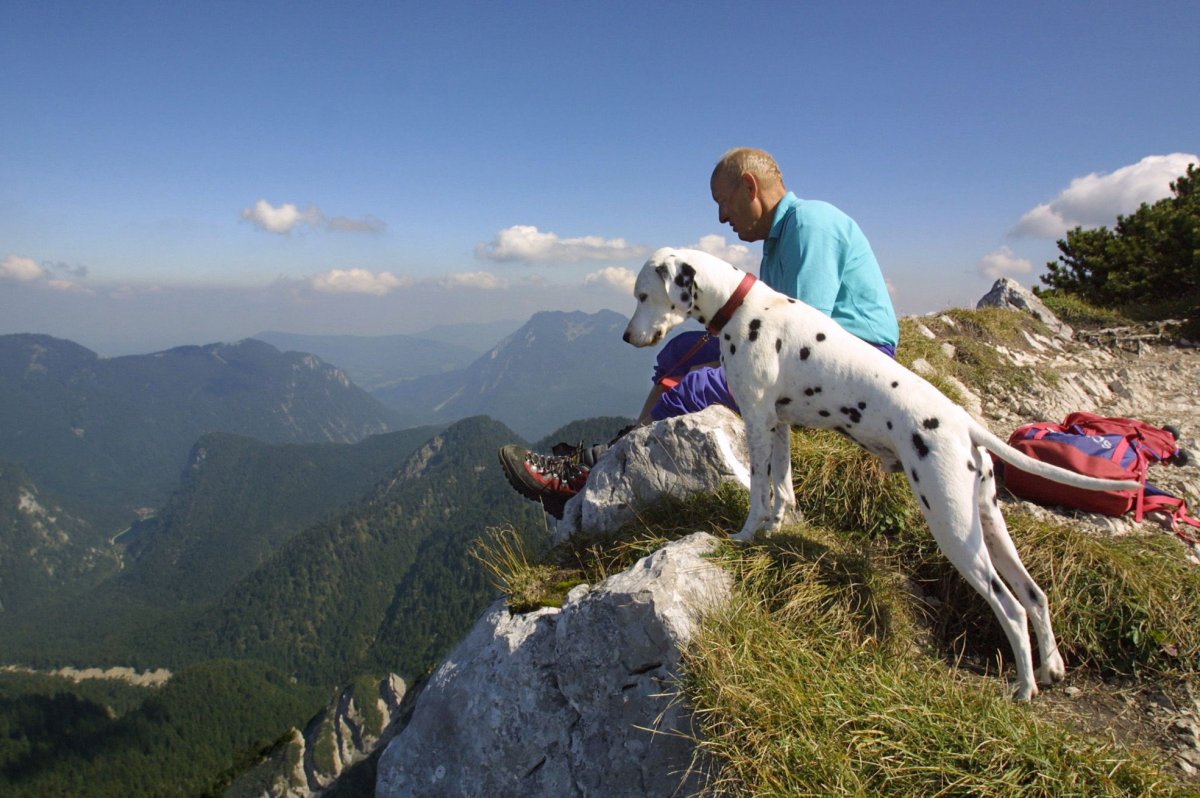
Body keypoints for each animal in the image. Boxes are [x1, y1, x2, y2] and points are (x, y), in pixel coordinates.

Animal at [628, 246, 1142, 700]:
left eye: (642, 295)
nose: (627, 339)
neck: (744, 308)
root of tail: (964, 423)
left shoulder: (756, 419)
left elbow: (758, 490)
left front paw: (747, 534)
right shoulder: (779, 424)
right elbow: (782, 488)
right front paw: (776, 527)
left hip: (953, 529)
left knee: (1011, 608)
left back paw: (1023, 688)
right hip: (988, 522)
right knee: (1034, 595)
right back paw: (1051, 667)